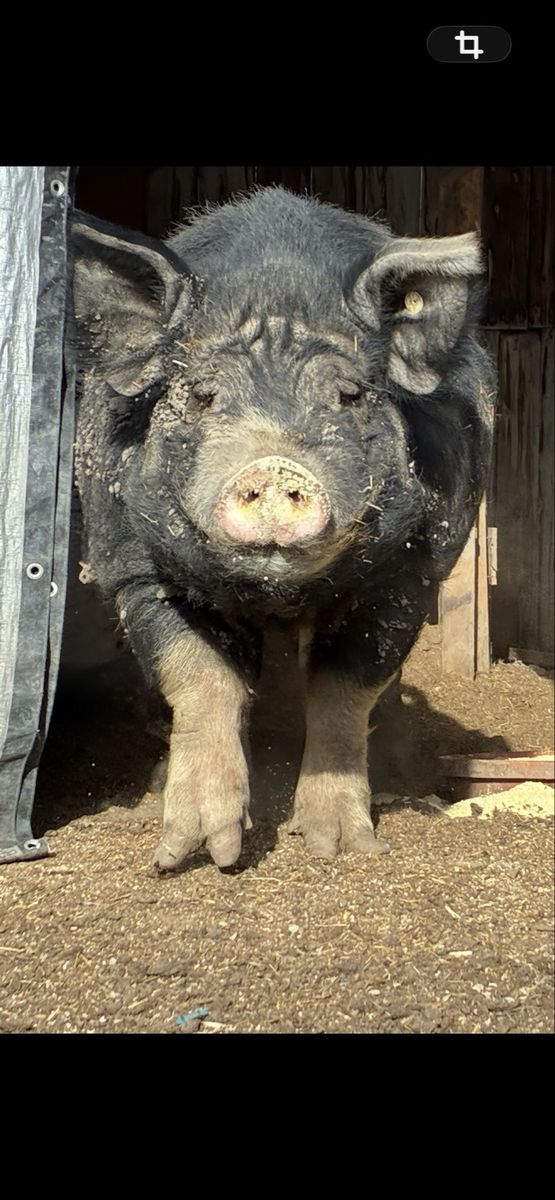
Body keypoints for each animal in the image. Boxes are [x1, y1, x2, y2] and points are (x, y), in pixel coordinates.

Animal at [70, 185, 495, 869]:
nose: (272, 467)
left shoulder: (410, 575)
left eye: (349, 395)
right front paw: (193, 857)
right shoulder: (132, 565)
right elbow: (200, 677)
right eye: (203, 395)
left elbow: (345, 690)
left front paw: (341, 848)